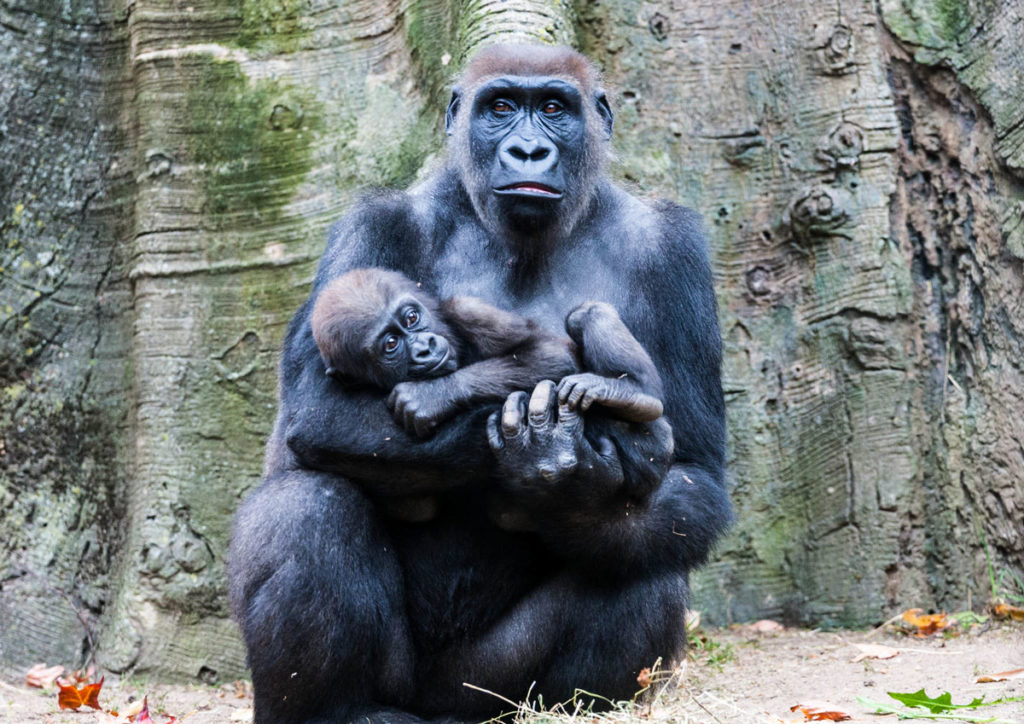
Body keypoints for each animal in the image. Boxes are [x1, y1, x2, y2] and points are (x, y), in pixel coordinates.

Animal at [307, 268, 667, 524]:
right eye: (391, 344)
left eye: (411, 317)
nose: (424, 347)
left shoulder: (467, 310)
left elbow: (549, 354)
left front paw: (432, 395)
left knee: (585, 315)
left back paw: (633, 392)